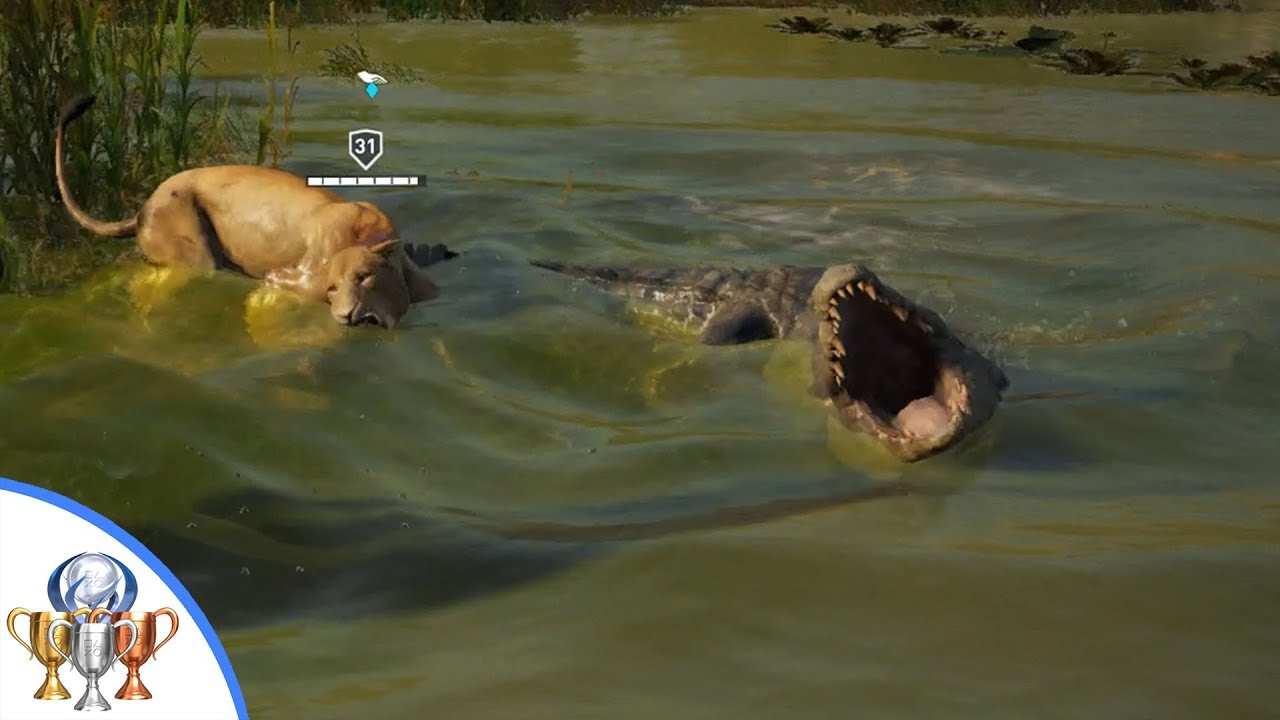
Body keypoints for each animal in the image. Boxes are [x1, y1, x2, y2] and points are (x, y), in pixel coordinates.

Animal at [55, 94, 440, 329]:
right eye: (332, 288)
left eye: (363, 277)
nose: (348, 317)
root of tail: (143, 207)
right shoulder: (294, 280)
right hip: (192, 245)